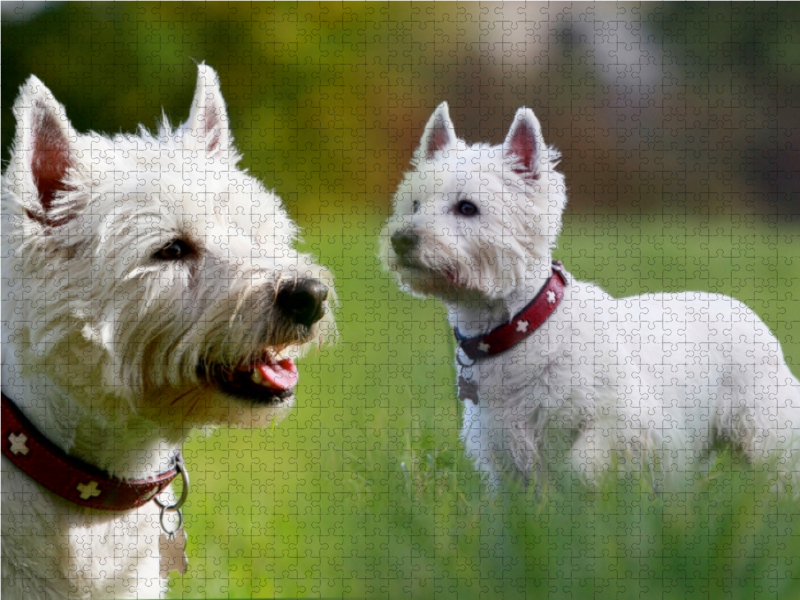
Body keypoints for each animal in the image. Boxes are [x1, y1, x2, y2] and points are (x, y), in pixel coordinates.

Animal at [382, 101, 800, 490]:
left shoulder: (622, 420)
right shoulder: (498, 443)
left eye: (467, 207)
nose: (401, 239)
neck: (517, 328)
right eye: (414, 204)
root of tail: (744, 310)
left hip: (763, 425)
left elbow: (582, 464)